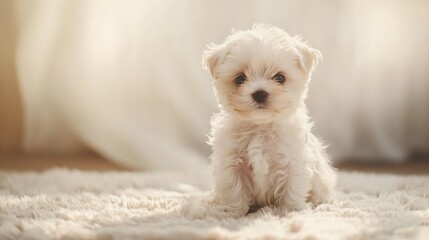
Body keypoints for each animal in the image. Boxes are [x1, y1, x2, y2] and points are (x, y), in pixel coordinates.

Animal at [202, 23, 336, 216]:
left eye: (280, 78)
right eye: (240, 79)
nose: (259, 93)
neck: (261, 126)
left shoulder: (292, 161)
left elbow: (292, 187)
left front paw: (292, 211)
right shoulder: (232, 162)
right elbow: (234, 189)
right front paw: (232, 212)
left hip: (321, 179)